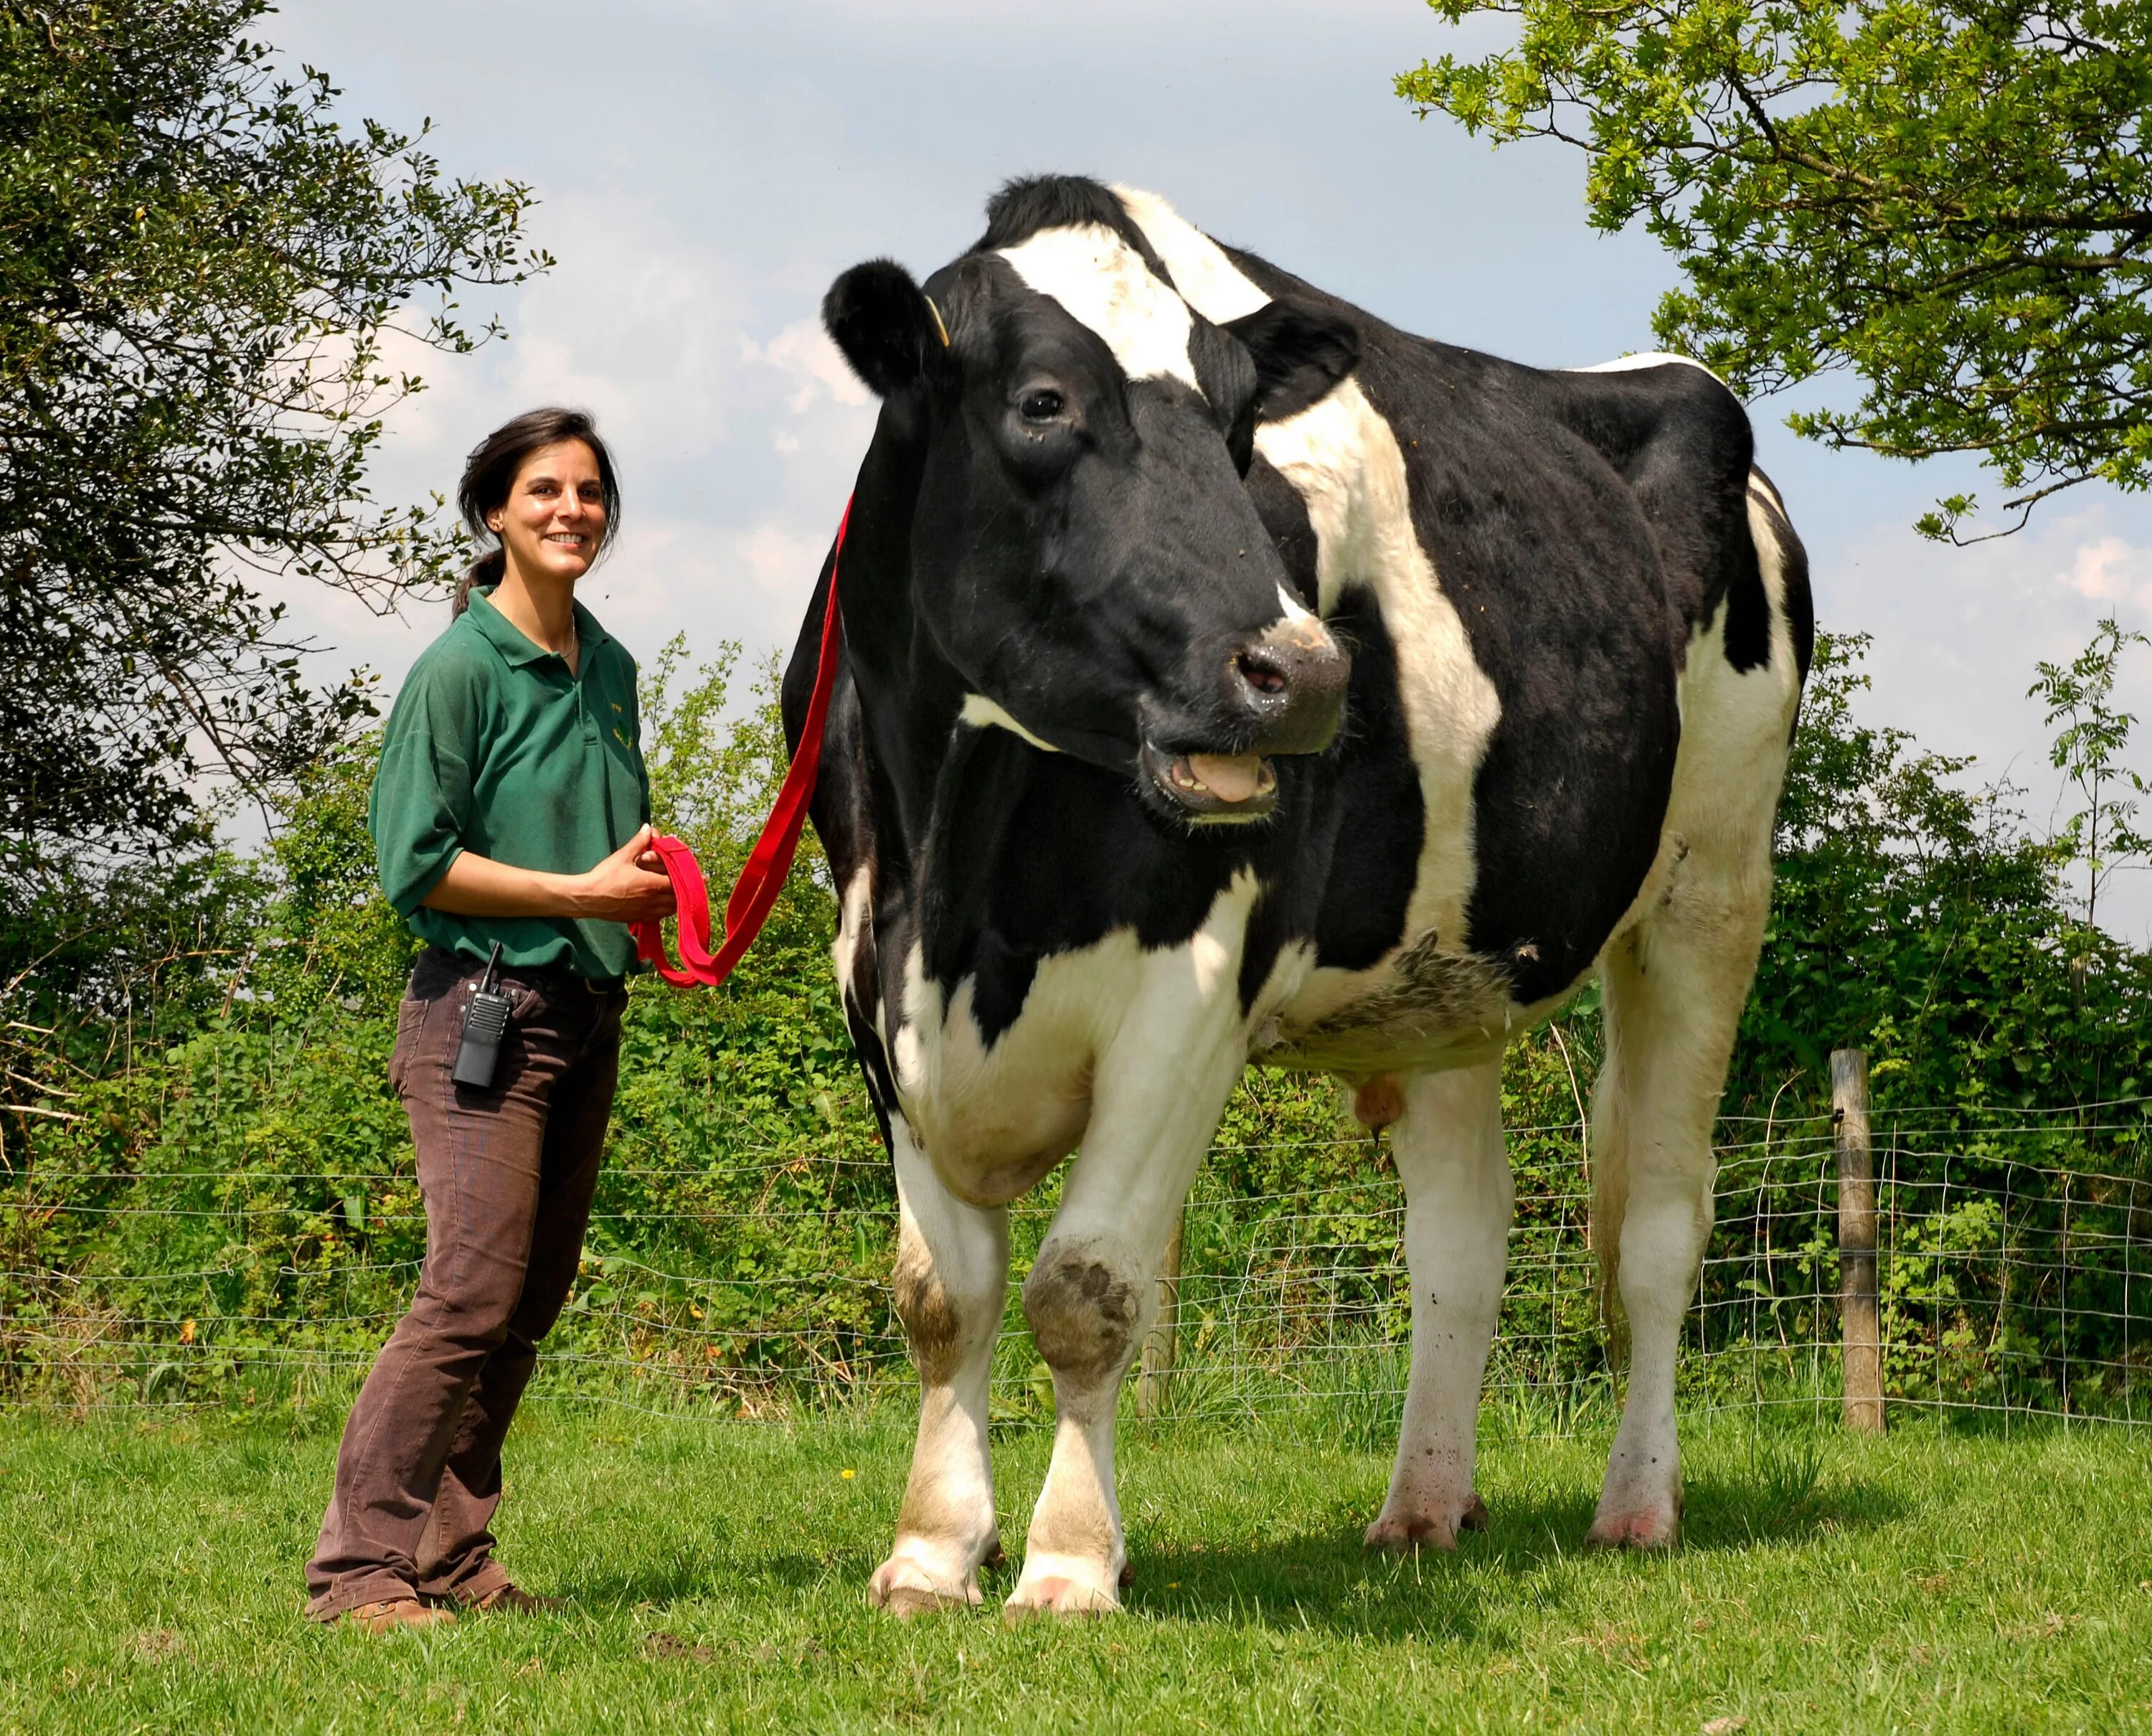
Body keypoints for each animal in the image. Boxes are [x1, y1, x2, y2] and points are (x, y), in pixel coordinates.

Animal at [783, 176, 1808, 1618]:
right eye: (1042, 403)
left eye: (1236, 427)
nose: (1307, 673)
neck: (961, 881)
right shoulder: (872, 984)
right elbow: (944, 1296)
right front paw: (933, 1553)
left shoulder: (1194, 990)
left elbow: (1086, 1288)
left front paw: (1069, 1564)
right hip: (1448, 976)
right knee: (1461, 1242)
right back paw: (1424, 1506)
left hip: (1711, 888)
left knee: (1661, 1226)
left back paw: (1638, 1504)